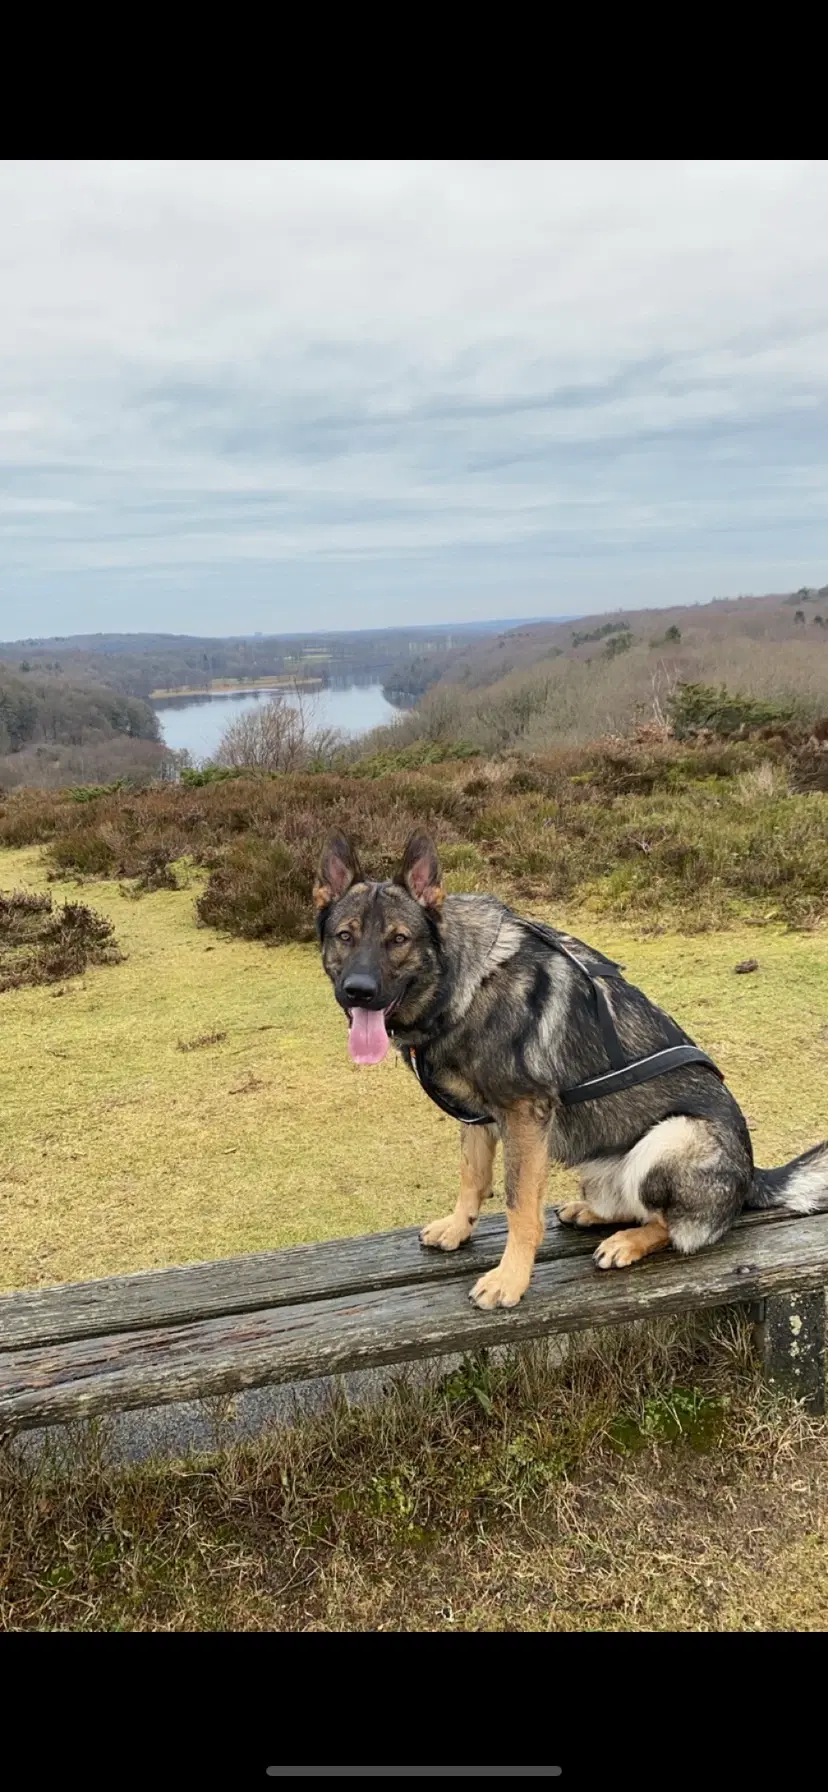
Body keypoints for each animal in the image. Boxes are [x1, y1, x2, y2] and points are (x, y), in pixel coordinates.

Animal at [311, 831, 828, 1311]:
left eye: (398, 940)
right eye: (345, 936)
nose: (359, 991)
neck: (460, 981)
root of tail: (753, 1177)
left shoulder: (524, 1117)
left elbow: (519, 1206)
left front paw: (510, 1280)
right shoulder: (477, 1118)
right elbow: (472, 1177)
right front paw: (458, 1228)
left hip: (672, 1137)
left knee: (672, 1226)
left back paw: (627, 1243)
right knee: (633, 1208)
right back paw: (591, 1213)